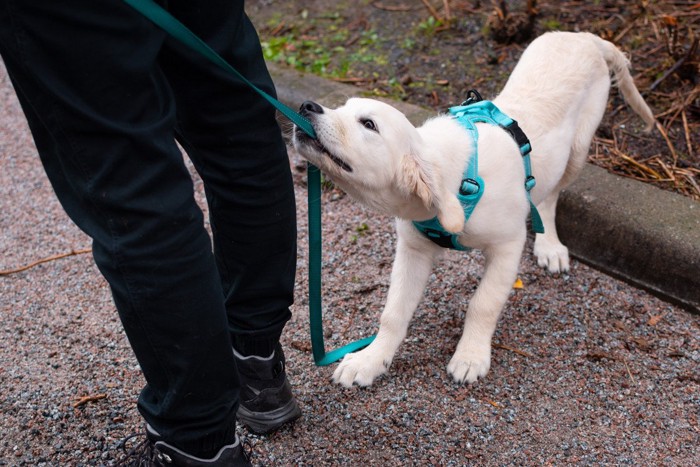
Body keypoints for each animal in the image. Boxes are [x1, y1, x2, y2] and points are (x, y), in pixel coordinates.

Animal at [292, 30, 652, 388]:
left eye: (368, 124)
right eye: (343, 107)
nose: (306, 106)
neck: (457, 183)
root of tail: (583, 36)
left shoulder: (508, 246)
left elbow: (483, 304)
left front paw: (470, 356)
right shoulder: (413, 250)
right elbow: (393, 312)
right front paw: (370, 360)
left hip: (578, 149)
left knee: (550, 196)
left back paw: (550, 246)